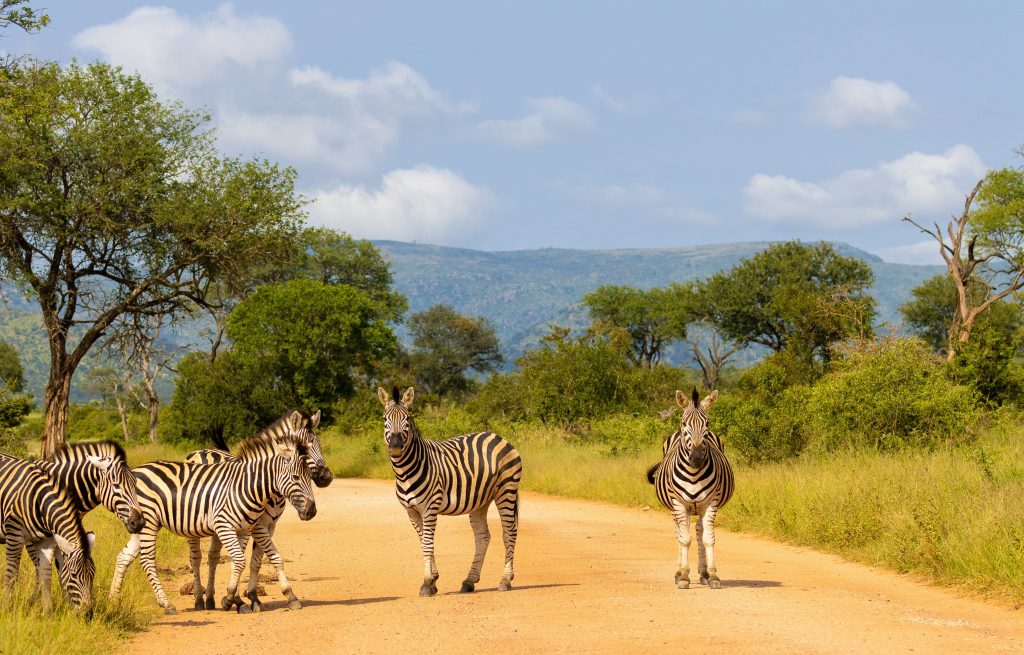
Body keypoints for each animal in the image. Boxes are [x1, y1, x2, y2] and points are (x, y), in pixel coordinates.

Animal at [0, 456, 96, 615]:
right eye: (74, 575)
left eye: (93, 574)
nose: (88, 613)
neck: (39, 501)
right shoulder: (14, 534)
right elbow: (12, 574)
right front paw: (7, 608)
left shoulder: (47, 542)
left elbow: (46, 577)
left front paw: (47, 613)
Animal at [108, 435, 317, 615]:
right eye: (296, 477)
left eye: (309, 476)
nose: (311, 511)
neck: (247, 487)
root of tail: (136, 470)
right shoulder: (226, 526)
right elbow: (239, 561)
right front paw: (231, 599)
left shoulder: (246, 529)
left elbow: (270, 558)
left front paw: (288, 596)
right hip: (149, 523)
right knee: (148, 560)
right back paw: (168, 604)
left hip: (139, 525)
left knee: (123, 557)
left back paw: (113, 601)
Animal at [183, 409, 330, 612]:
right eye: (305, 447)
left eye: (318, 444)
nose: (326, 477)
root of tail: (202, 451)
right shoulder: (256, 526)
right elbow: (259, 558)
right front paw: (237, 599)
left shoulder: (268, 526)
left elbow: (256, 561)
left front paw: (252, 597)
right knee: (196, 558)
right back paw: (198, 599)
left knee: (213, 557)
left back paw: (210, 599)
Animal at [377, 386, 522, 596]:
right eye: (384, 418)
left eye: (408, 418)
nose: (395, 446)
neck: (405, 472)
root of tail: (497, 436)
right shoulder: (411, 511)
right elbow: (423, 542)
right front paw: (433, 579)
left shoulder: (430, 508)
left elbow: (427, 544)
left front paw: (427, 583)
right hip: (481, 500)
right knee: (483, 537)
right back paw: (469, 581)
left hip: (506, 490)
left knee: (509, 532)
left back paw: (505, 580)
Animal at [645, 388, 734, 589]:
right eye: (684, 423)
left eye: (707, 423)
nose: (697, 457)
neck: (694, 473)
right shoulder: (679, 503)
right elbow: (684, 539)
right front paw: (684, 577)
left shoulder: (711, 502)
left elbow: (708, 539)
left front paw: (713, 576)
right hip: (675, 507)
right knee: (679, 532)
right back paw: (678, 572)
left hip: (700, 507)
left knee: (700, 531)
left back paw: (704, 573)